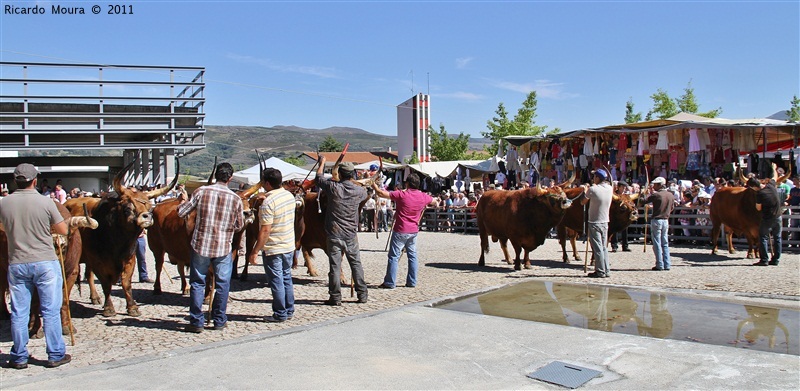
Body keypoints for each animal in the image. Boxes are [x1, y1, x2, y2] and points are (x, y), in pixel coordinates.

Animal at [66, 162, 177, 318]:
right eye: (127, 208)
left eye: (149, 206)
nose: (147, 217)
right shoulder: (98, 262)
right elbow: (106, 284)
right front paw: (109, 308)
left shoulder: (129, 258)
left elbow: (126, 282)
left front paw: (132, 307)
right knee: (86, 276)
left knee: (88, 274)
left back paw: (94, 298)